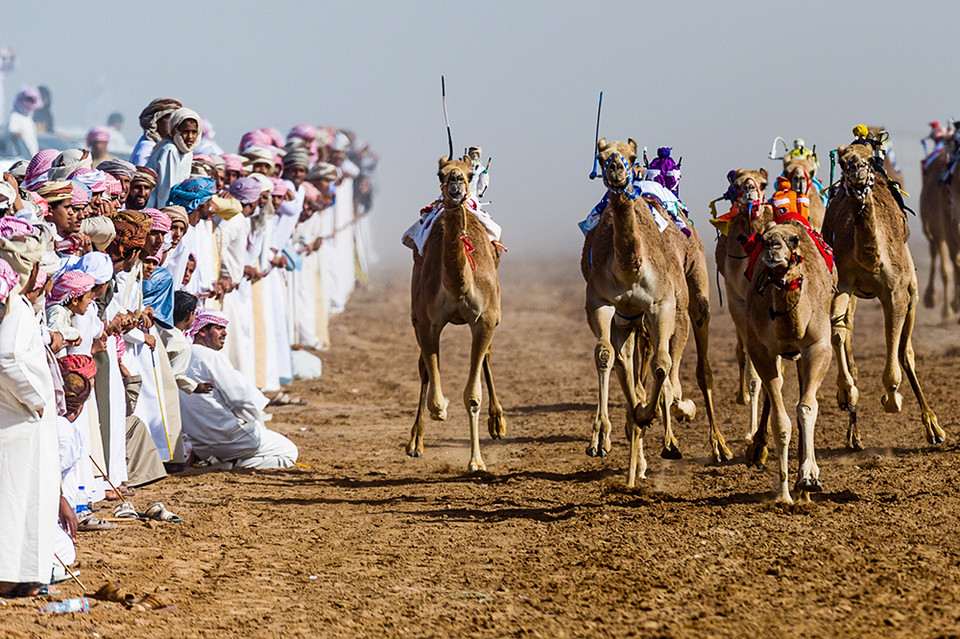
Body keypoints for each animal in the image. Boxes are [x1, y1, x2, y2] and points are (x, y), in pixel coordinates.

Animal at [406, 155, 506, 470]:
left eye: (470, 172)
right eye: (440, 172)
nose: (456, 182)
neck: (458, 286)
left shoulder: (485, 319)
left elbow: (473, 396)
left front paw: (476, 462)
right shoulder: (426, 322)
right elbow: (434, 391)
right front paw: (439, 412)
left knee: (487, 357)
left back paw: (498, 424)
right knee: (423, 368)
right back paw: (415, 443)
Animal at [748, 222, 836, 502]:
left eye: (794, 240)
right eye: (762, 240)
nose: (773, 248)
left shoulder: (818, 347)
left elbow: (806, 407)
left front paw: (809, 477)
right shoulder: (761, 351)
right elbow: (780, 422)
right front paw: (783, 495)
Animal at [820, 144, 940, 450]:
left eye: (871, 159)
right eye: (843, 160)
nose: (857, 169)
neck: (871, 256)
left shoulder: (896, 292)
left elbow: (896, 344)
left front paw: (892, 397)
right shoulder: (844, 283)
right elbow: (837, 330)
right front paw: (846, 391)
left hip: (913, 292)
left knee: (906, 351)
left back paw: (934, 429)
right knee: (847, 329)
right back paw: (853, 432)